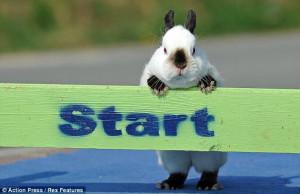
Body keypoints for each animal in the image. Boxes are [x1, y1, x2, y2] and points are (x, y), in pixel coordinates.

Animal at [139, 9, 226, 190]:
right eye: (165, 49)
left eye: (193, 50)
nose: (180, 64)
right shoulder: (146, 75)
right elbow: (150, 80)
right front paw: (159, 86)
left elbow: (212, 79)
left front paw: (206, 84)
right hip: (172, 156)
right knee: (180, 172)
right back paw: (169, 184)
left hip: (210, 155)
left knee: (210, 170)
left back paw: (207, 185)